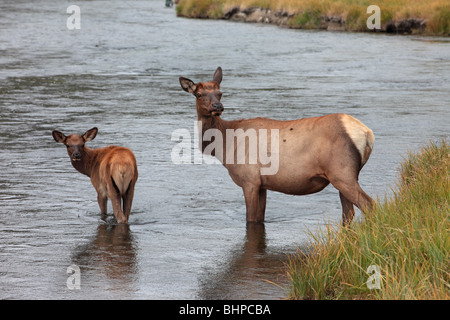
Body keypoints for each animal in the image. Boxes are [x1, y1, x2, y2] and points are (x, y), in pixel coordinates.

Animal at [179, 66, 376, 226]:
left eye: (220, 92)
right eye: (199, 94)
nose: (217, 106)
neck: (224, 146)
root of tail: (367, 134)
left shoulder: (249, 179)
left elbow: (251, 219)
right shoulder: (262, 184)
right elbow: (260, 218)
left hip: (341, 173)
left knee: (369, 205)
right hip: (347, 175)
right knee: (348, 213)